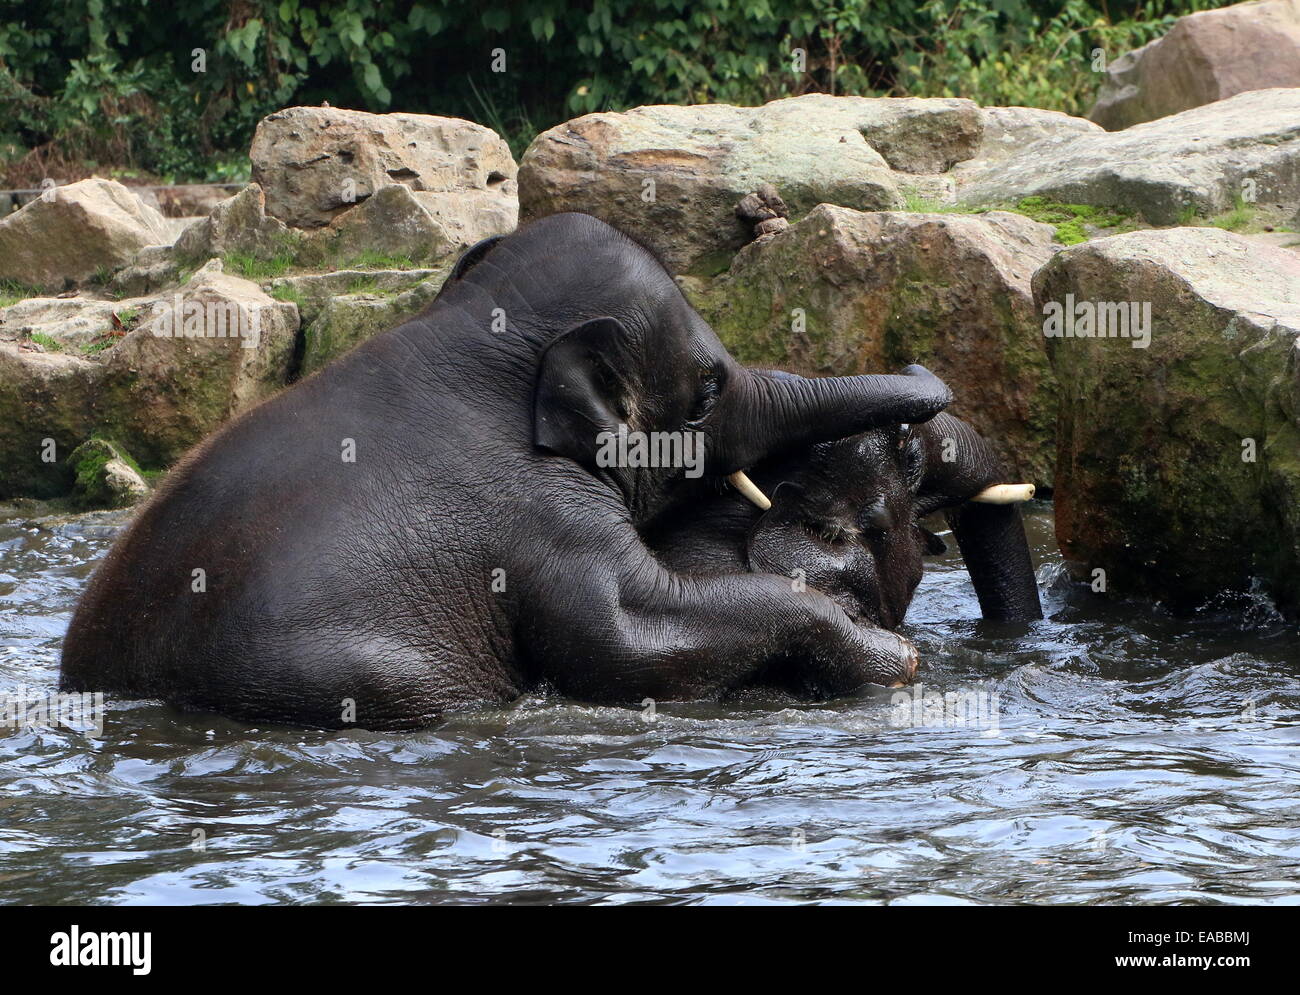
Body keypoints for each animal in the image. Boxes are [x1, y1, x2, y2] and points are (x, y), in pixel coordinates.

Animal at [58, 213, 956, 728]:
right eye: (706, 391)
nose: (911, 428)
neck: (471, 340)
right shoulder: (542, 517)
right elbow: (629, 642)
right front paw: (896, 661)